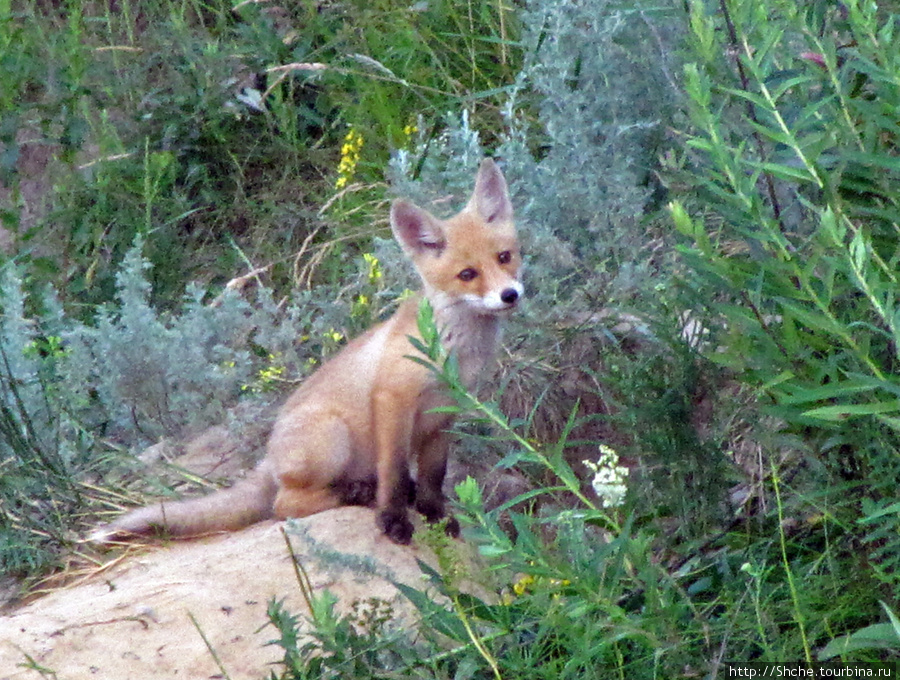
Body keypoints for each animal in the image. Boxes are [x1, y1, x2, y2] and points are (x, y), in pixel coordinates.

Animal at [88, 157, 524, 544]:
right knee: (284, 506)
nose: (510, 295)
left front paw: (436, 516)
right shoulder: (393, 399)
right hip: (332, 437)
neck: (455, 352)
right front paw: (394, 521)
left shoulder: (445, 415)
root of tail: (269, 456)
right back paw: (356, 494)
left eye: (504, 257)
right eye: (467, 274)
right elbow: (395, 474)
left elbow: (434, 477)